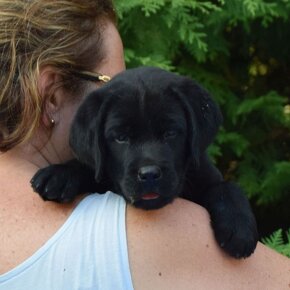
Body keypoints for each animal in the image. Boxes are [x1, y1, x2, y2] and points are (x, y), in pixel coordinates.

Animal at [31, 66, 258, 258]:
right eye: (121, 137)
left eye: (170, 133)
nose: (149, 174)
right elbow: (88, 168)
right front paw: (59, 174)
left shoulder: (206, 174)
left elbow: (226, 187)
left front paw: (239, 228)